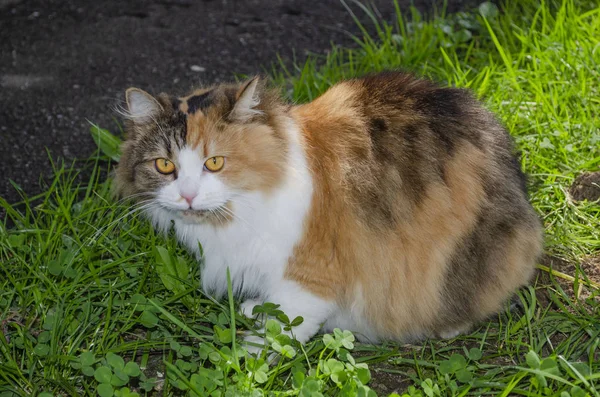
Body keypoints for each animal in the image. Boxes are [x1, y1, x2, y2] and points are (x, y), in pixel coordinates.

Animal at [112, 70, 544, 350]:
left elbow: (281, 331)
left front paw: (246, 358)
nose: (186, 196)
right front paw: (254, 308)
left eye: (214, 163)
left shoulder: (311, 275)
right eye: (164, 166)